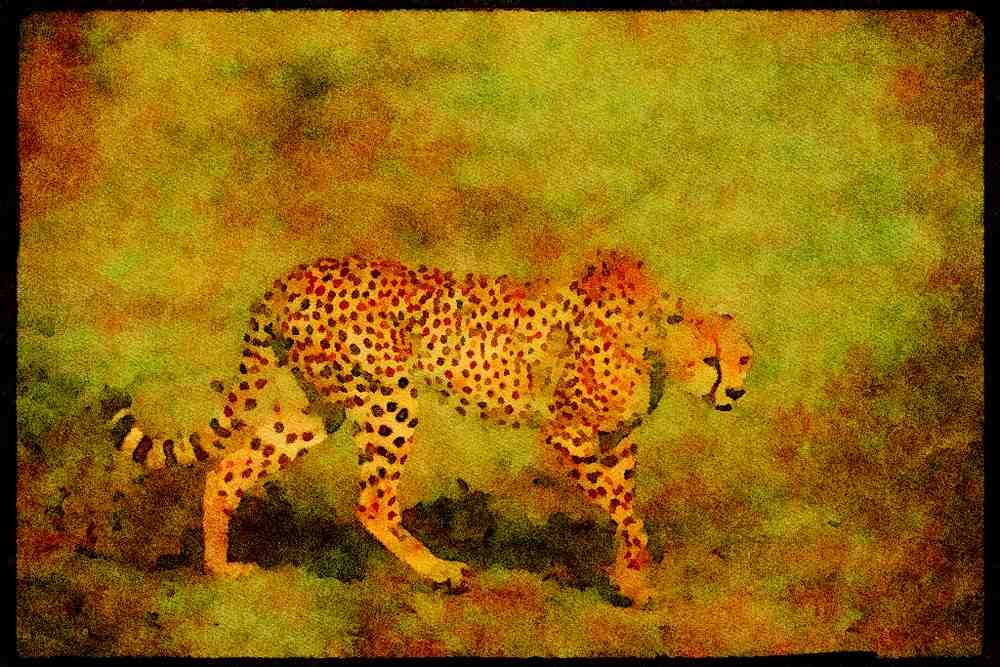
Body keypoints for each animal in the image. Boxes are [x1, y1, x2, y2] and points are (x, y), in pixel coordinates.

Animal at [107, 249, 753, 607]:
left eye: (743, 359)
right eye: (711, 360)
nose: (737, 392)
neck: (651, 337)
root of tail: (295, 274)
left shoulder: (618, 442)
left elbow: (625, 510)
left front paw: (629, 580)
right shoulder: (567, 434)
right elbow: (626, 511)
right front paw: (634, 580)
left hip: (323, 406)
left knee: (230, 466)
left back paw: (220, 568)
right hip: (389, 397)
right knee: (372, 501)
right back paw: (440, 571)